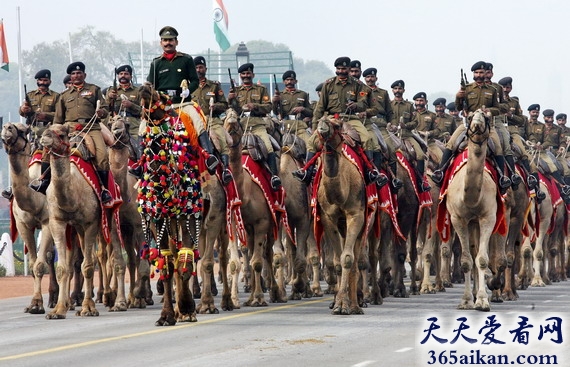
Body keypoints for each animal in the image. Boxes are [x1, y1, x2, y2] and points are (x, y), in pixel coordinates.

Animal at [1, 123, 56, 314]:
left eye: (23, 129)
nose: (7, 128)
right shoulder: (23, 224)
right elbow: (34, 264)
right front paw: (36, 303)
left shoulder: (48, 222)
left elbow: (40, 265)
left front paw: (37, 304)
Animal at [440, 109, 502, 310]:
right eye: (469, 116)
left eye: (487, 117)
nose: (476, 123)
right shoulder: (457, 218)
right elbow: (466, 261)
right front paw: (466, 300)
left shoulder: (488, 217)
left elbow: (482, 259)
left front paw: (482, 300)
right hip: (469, 223)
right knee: (472, 253)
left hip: (476, 222)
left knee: (477, 254)